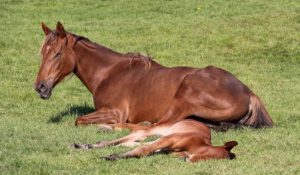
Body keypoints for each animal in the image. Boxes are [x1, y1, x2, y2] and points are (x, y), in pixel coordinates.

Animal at [34, 21, 274, 131]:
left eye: (57, 53)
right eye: (42, 52)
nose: (40, 87)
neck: (109, 73)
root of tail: (249, 94)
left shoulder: (115, 112)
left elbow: (79, 120)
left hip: (185, 94)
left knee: (156, 126)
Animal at [72, 119, 237, 162]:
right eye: (209, 155)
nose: (187, 161)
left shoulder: (163, 149)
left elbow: (141, 151)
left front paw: (114, 156)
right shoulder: (169, 140)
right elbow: (143, 150)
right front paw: (112, 157)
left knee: (129, 142)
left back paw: (86, 145)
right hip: (155, 131)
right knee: (137, 134)